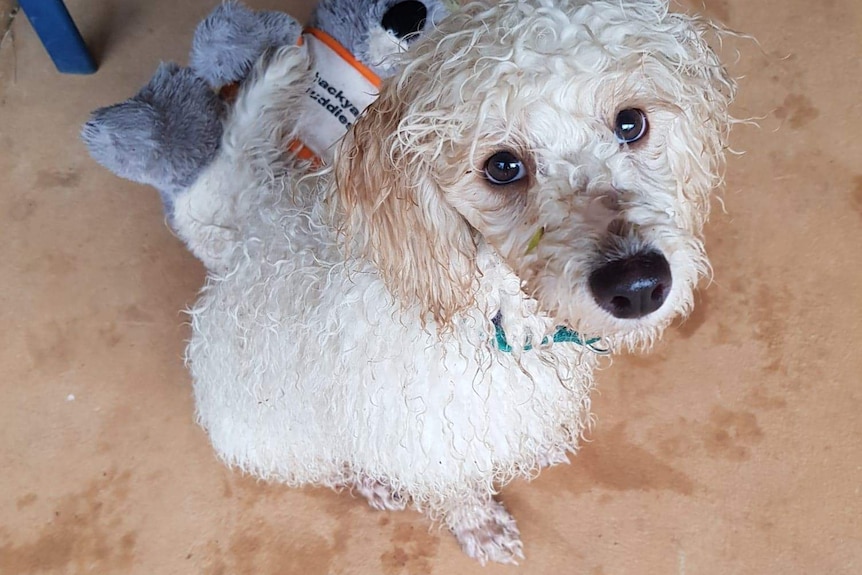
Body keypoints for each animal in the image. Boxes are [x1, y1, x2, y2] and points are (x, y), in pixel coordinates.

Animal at [174, 0, 736, 568]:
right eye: (503, 167)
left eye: (631, 122)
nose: (638, 284)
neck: (487, 311)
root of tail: (242, 240)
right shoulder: (425, 444)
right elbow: (458, 493)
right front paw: (482, 528)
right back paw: (373, 481)